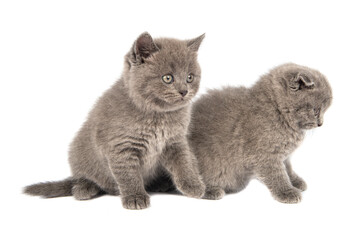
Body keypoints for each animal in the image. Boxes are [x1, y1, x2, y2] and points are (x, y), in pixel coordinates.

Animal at [24, 32, 205, 210]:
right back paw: (84, 188)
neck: (159, 115)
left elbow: (184, 162)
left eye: (190, 77)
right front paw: (135, 197)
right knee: (82, 178)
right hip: (77, 153)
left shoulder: (175, 141)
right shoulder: (121, 146)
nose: (184, 91)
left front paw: (194, 186)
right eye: (167, 78)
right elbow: (128, 174)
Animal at [188, 63, 332, 202]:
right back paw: (211, 191)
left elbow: (288, 169)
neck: (278, 110)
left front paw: (296, 182)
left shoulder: (284, 156)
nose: (321, 123)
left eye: (324, 110)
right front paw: (287, 192)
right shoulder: (263, 155)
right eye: (316, 110)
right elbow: (277, 174)